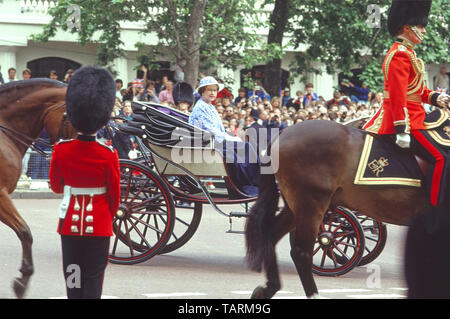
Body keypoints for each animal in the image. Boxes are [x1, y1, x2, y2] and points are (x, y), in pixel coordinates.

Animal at [244, 120, 430, 300]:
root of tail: (283, 132)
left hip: (296, 208)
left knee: (271, 234)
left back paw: (268, 288)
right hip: (311, 206)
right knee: (301, 253)